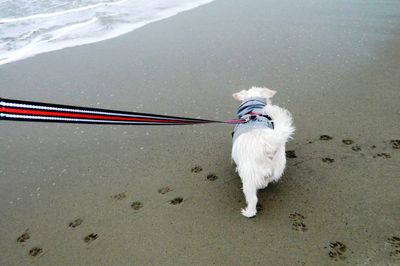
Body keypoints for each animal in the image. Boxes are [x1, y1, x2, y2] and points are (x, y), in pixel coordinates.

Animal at [231, 86, 294, 217]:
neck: (253, 109)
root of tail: (266, 144)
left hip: (248, 177)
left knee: (253, 199)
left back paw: (248, 212)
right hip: (278, 165)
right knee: (268, 179)